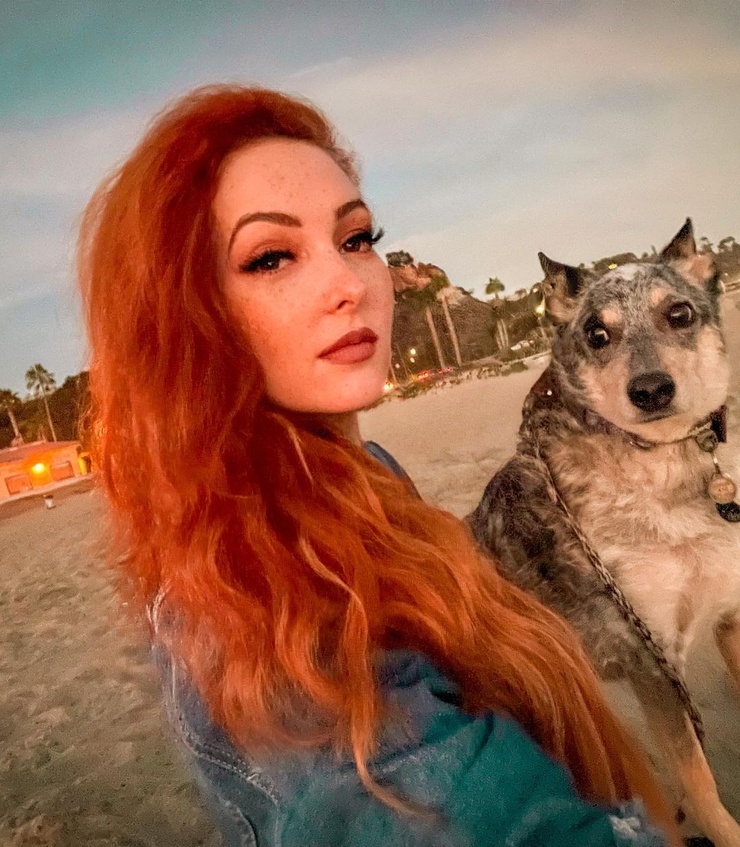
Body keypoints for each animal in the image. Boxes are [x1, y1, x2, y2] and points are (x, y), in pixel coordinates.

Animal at [468, 220, 740, 847]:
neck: (666, 467)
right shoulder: (652, 663)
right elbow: (702, 786)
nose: (651, 390)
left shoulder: (732, 612)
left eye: (679, 314)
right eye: (597, 334)